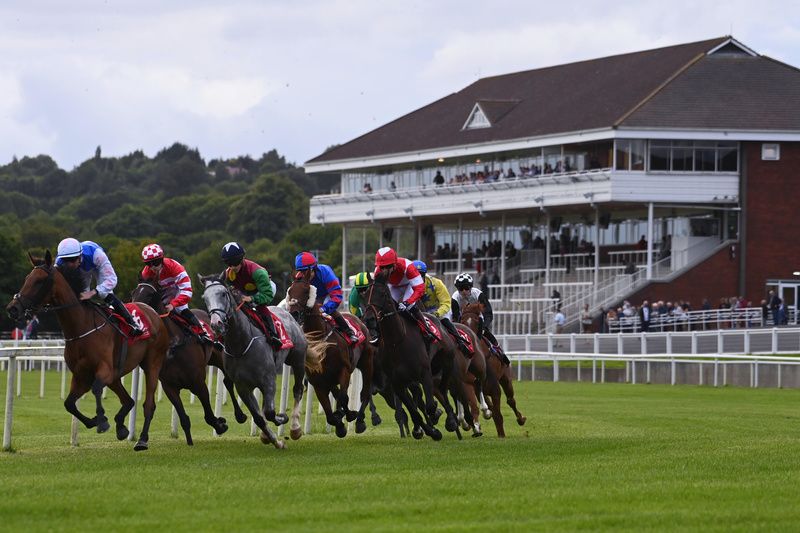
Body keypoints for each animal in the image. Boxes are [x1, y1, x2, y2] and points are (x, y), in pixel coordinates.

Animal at [5, 251, 170, 450]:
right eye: (27, 278)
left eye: (39, 281)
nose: (13, 308)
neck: (81, 328)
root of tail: (153, 312)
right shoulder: (81, 375)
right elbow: (69, 403)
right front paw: (94, 421)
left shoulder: (104, 370)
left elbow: (96, 389)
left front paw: (102, 420)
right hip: (116, 375)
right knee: (128, 400)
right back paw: (121, 427)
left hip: (152, 364)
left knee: (148, 404)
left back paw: (142, 439)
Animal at [130, 278, 247, 444]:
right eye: (133, 293)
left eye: (150, 294)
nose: (133, 312)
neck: (173, 344)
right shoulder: (169, 386)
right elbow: (184, 418)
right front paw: (190, 441)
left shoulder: (198, 382)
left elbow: (209, 415)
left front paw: (220, 425)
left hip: (220, 358)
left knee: (228, 382)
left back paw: (240, 415)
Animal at [200, 274, 310, 444]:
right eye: (205, 298)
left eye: (223, 294)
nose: (216, 324)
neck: (241, 343)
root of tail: (288, 313)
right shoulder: (243, 387)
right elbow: (259, 417)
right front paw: (273, 440)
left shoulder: (269, 380)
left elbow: (270, 412)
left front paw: (282, 418)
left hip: (297, 360)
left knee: (297, 389)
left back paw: (295, 428)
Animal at [284, 274, 376, 436]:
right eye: (290, 291)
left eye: (306, 291)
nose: (293, 313)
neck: (321, 340)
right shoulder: (317, 381)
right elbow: (330, 413)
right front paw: (340, 425)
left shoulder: (344, 371)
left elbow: (343, 397)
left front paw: (346, 416)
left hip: (366, 362)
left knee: (364, 392)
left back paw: (359, 421)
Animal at [460, 302, 528, 434]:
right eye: (462, 321)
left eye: (477, 321)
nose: (469, 338)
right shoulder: (469, 383)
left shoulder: (495, 387)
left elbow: (498, 415)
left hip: (505, 377)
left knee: (510, 400)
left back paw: (520, 419)